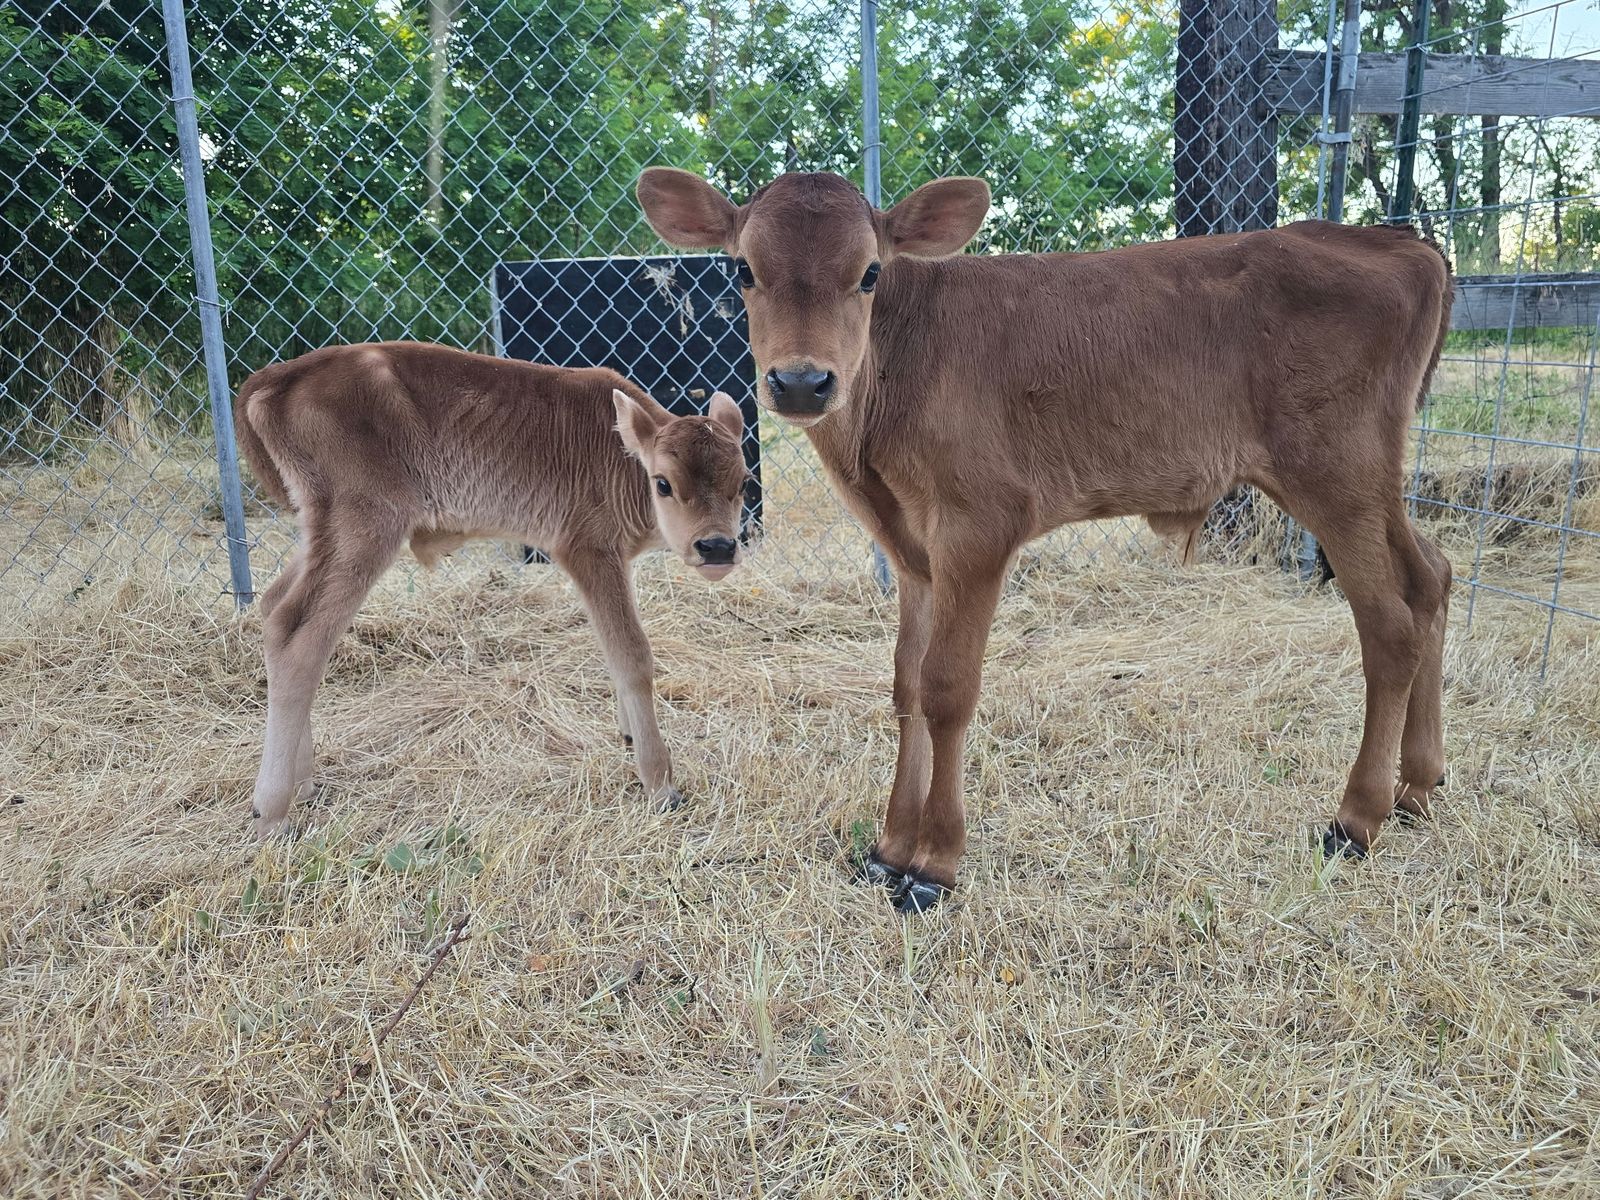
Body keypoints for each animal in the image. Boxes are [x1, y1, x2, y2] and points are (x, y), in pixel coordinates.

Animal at [234, 342, 748, 838]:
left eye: (743, 482)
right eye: (663, 483)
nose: (717, 547)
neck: (620, 454)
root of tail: (277, 377)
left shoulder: (617, 563)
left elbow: (612, 648)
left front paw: (627, 735)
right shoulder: (589, 551)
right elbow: (632, 654)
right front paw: (660, 783)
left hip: (321, 532)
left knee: (274, 606)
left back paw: (303, 782)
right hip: (366, 527)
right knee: (299, 638)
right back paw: (272, 812)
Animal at [637, 168, 1454, 914]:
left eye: (869, 272)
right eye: (744, 269)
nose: (803, 382)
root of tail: (1395, 241)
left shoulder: (979, 524)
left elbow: (946, 688)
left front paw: (933, 865)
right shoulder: (912, 552)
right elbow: (905, 683)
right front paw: (891, 846)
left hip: (1336, 472)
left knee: (1389, 625)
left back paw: (1357, 818)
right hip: (1369, 483)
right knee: (1432, 578)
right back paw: (1418, 785)